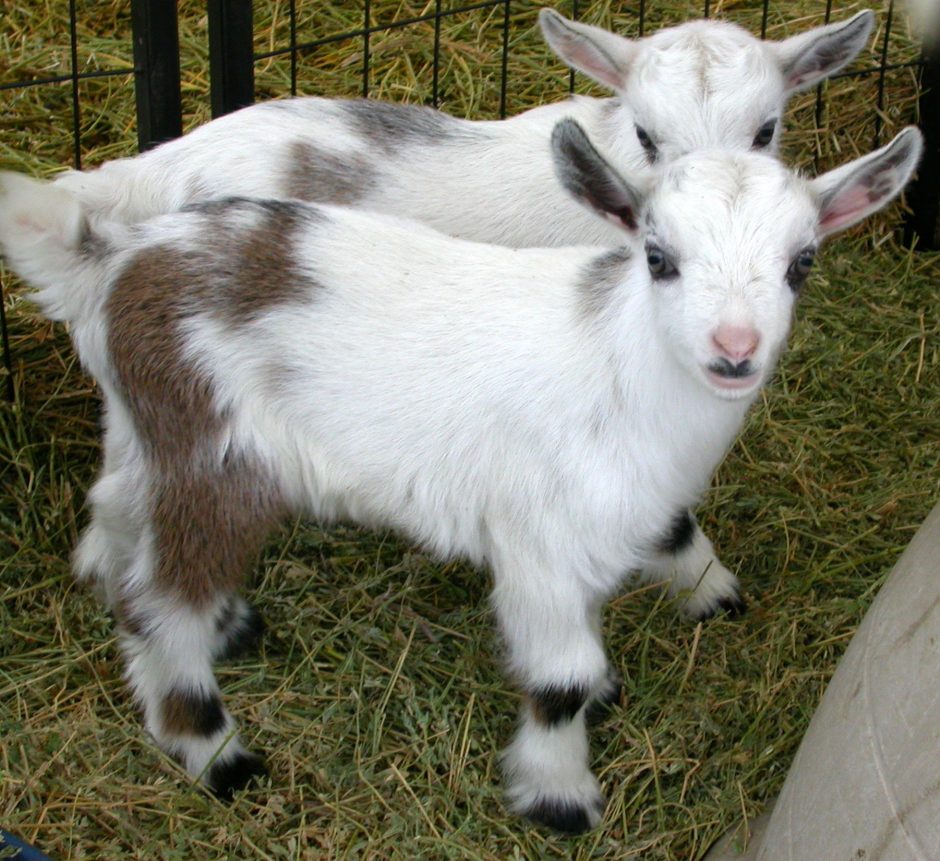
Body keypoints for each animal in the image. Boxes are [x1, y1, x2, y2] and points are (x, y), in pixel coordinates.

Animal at [0, 118, 920, 832]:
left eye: (803, 261)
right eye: (658, 257)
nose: (734, 349)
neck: (617, 370)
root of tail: (117, 260)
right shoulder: (538, 542)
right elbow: (559, 679)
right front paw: (560, 798)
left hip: (151, 428)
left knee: (117, 515)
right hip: (215, 459)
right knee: (160, 600)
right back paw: (214, 748)